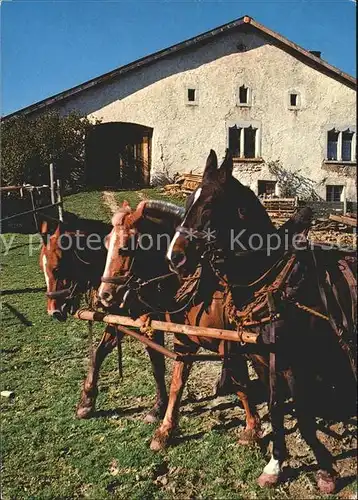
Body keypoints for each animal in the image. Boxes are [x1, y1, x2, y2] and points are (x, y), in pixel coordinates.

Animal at [38, 211, 168, 422]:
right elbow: (98, 354)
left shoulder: (152, 326)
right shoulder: (120, 321)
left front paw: (159, 407)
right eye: (42, 268)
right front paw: (87, 401)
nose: (54, 311)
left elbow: (157, 364)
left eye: (57, 268)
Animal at [164, 148, 356, 492]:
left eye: (209, 205)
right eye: (188, 202)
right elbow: (276, 408)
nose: (175, 257)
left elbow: (302, 417)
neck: (271, 280)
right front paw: (275, 464)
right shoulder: (262, 360)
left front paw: (325, 469)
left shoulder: (293, 363)